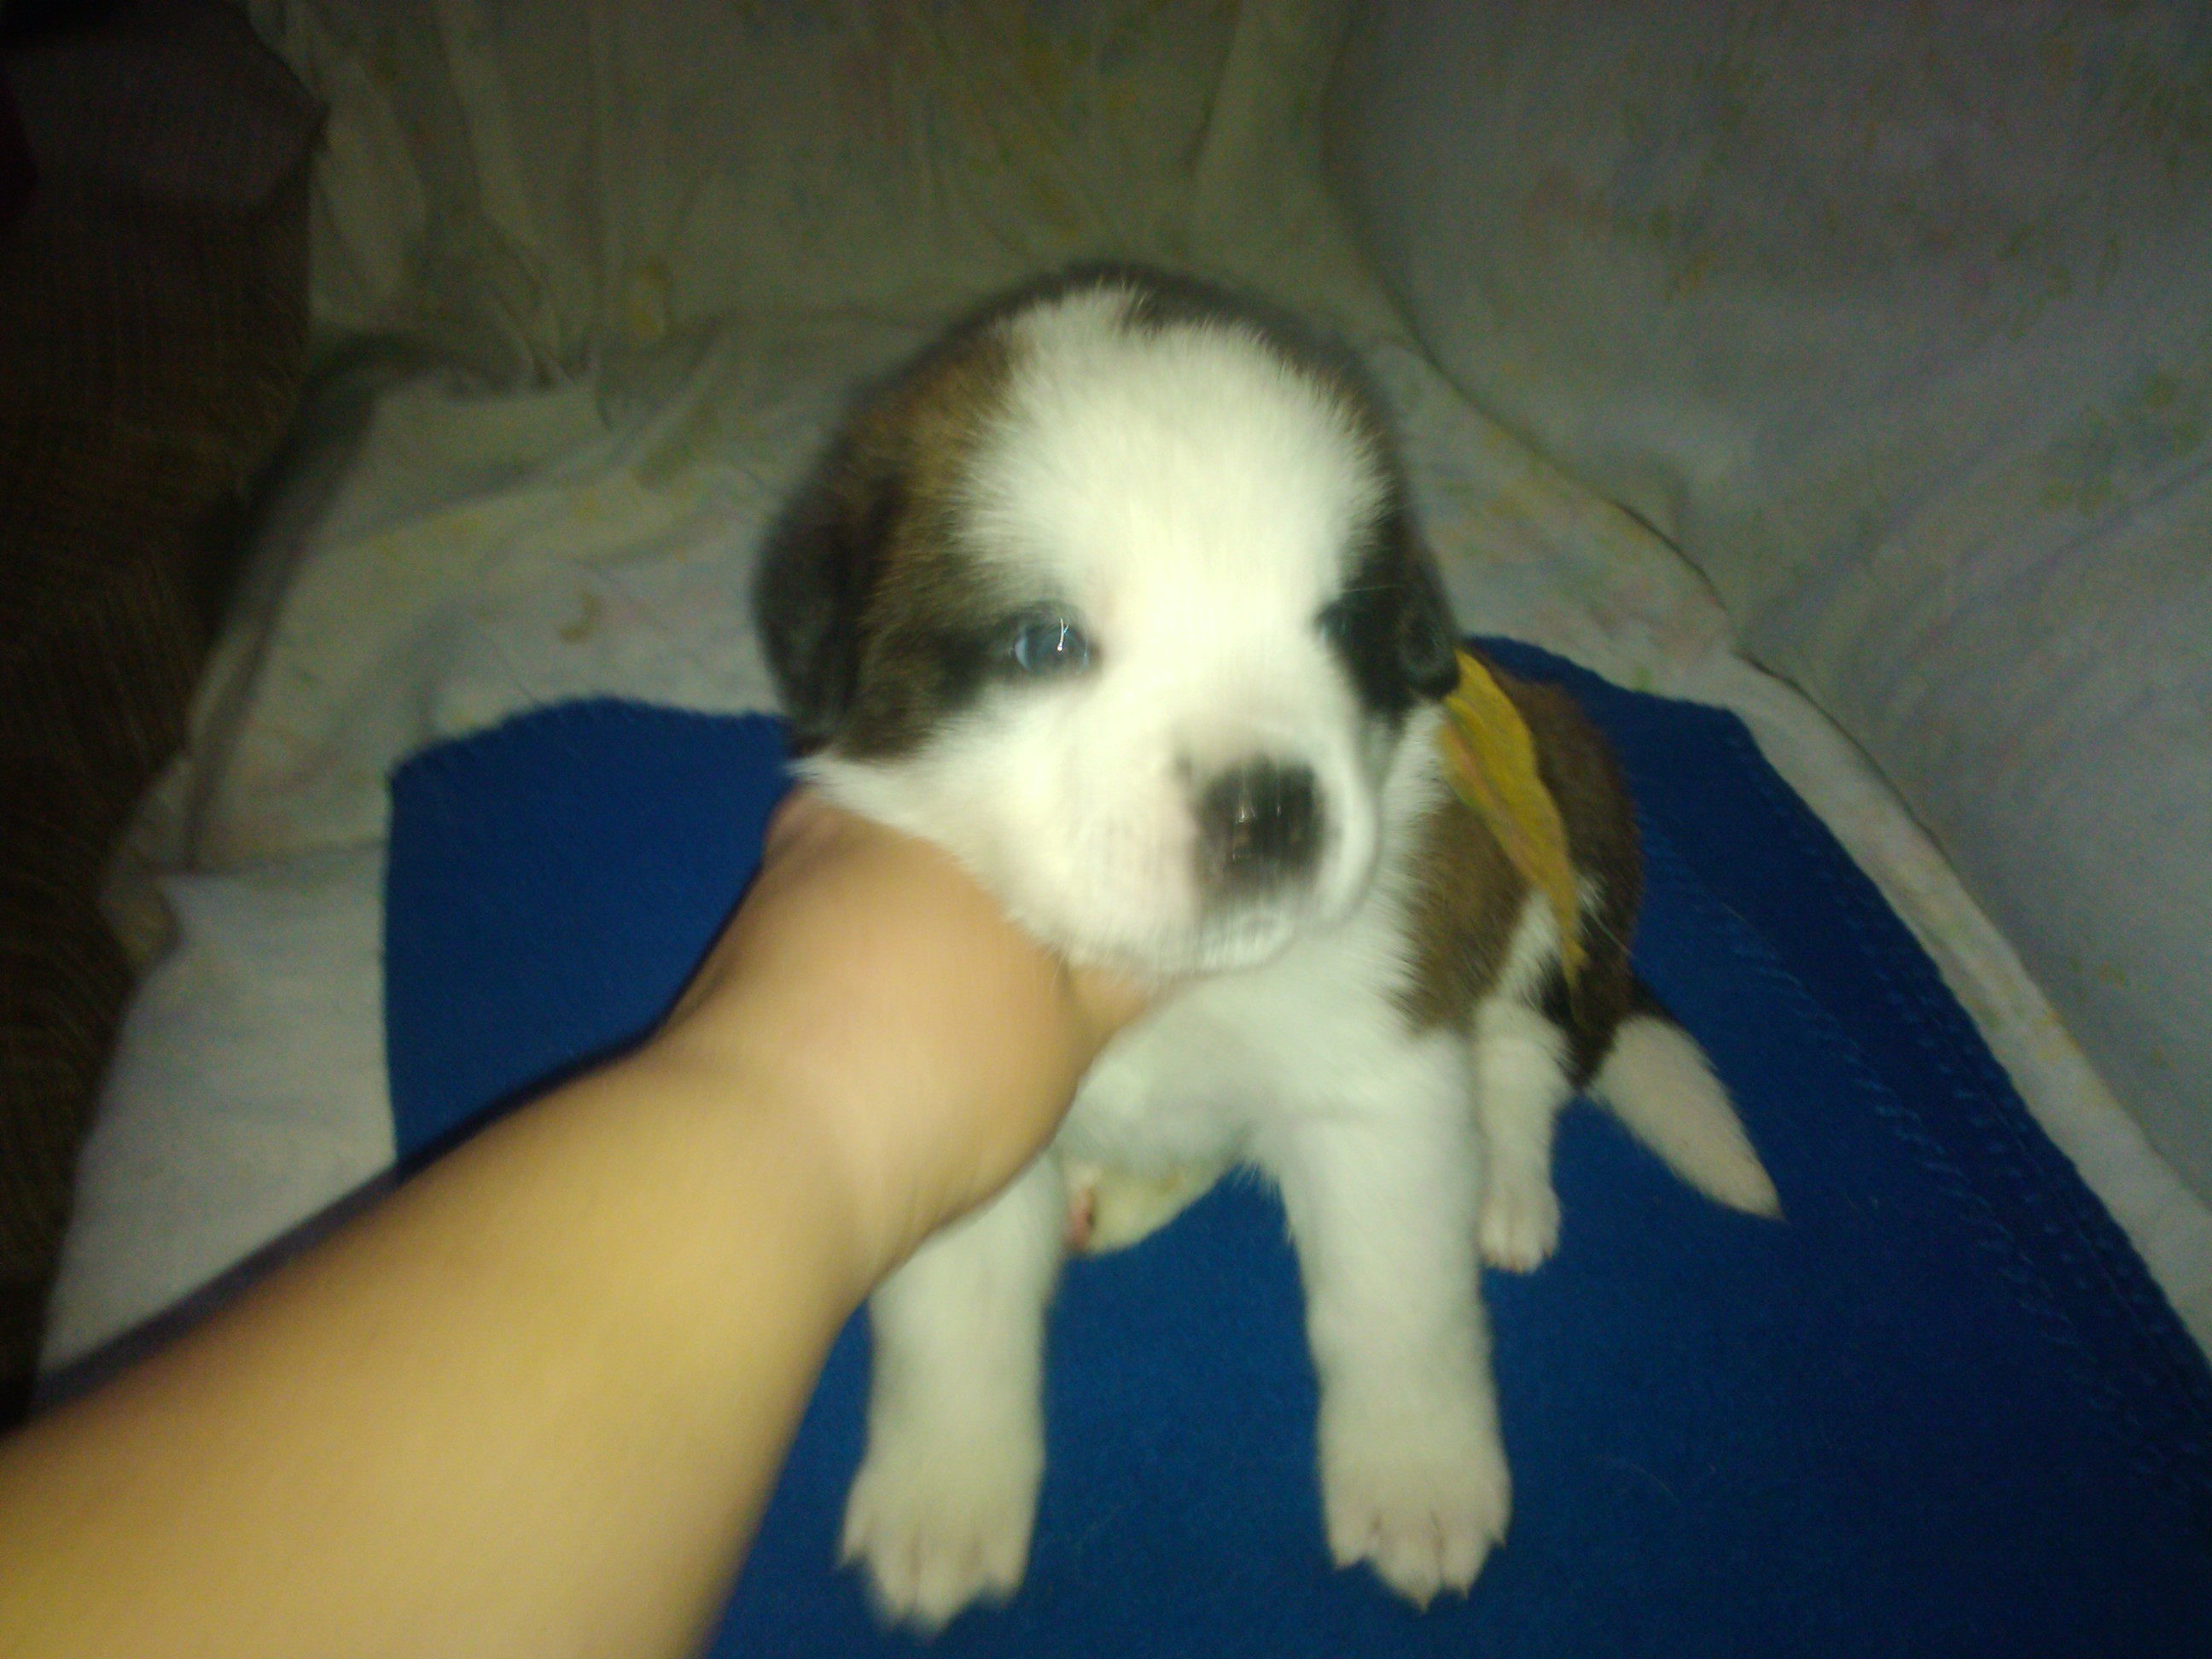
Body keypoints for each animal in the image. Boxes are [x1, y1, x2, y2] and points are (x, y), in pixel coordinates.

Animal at [755, 265, 1779, 1629]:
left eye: (1341, 627)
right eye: (1046, 643)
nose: (1270, 808)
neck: (1172, 985)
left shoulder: (1380, 1074)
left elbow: (1398, 1305)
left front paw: (1419, 1481)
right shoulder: (973, 1099)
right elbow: (954, 1314)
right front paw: (942, 1505)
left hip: (1559, 841)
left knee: (1521, 1051)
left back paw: (1507, 1191)